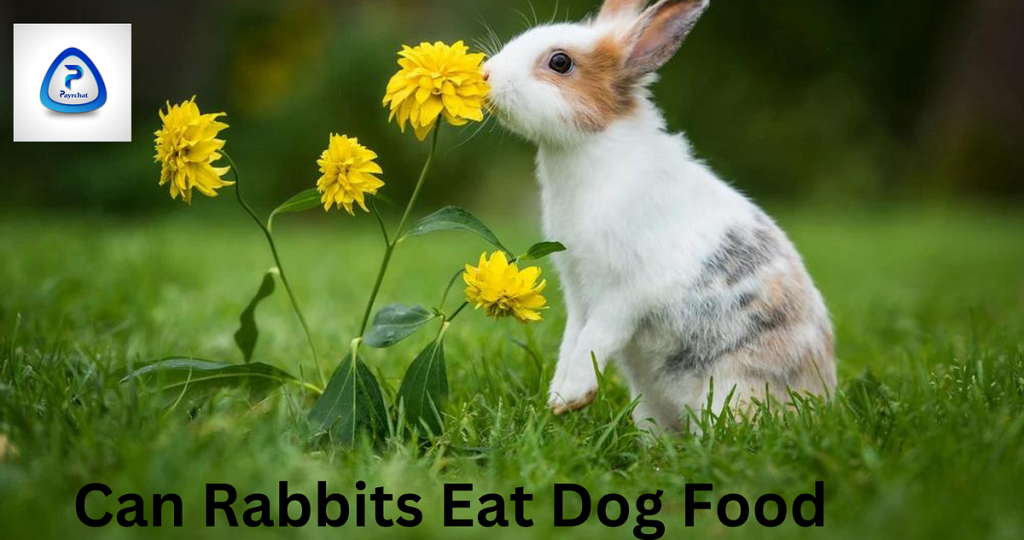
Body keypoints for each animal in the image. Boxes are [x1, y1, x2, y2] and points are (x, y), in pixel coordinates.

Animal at [483, 0, 836, 433]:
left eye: (560, 62)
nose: (486, 74)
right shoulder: (578, 292)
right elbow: (573, 340)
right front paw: (557, 398)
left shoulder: (624, 293)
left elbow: (594, 340)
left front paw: (571, 398)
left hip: (732, 387)